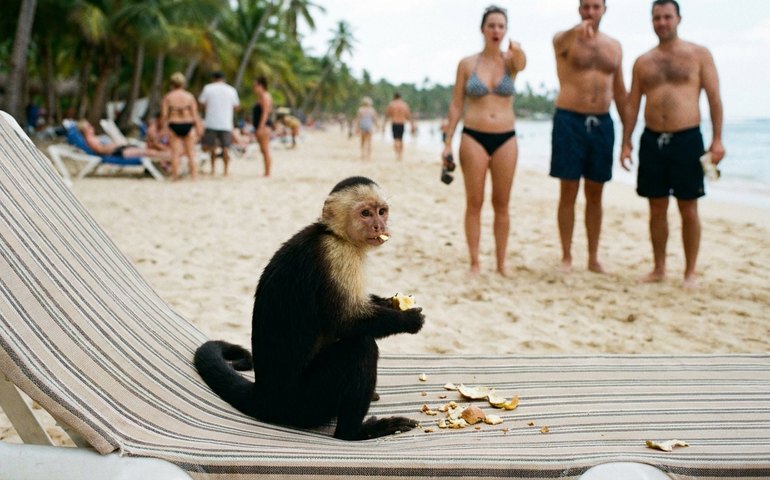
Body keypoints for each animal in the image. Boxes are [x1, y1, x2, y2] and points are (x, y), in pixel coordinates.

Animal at [194, 176, 425, 441]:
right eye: (365, 213)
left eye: (382, 211)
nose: (379, 226)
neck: (334, 234)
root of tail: (263, 397)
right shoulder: (338, 255)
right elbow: (345, 323)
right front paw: (408, 320)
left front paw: (389, 303)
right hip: (303, 404)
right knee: (360, 347)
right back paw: (355, 432)